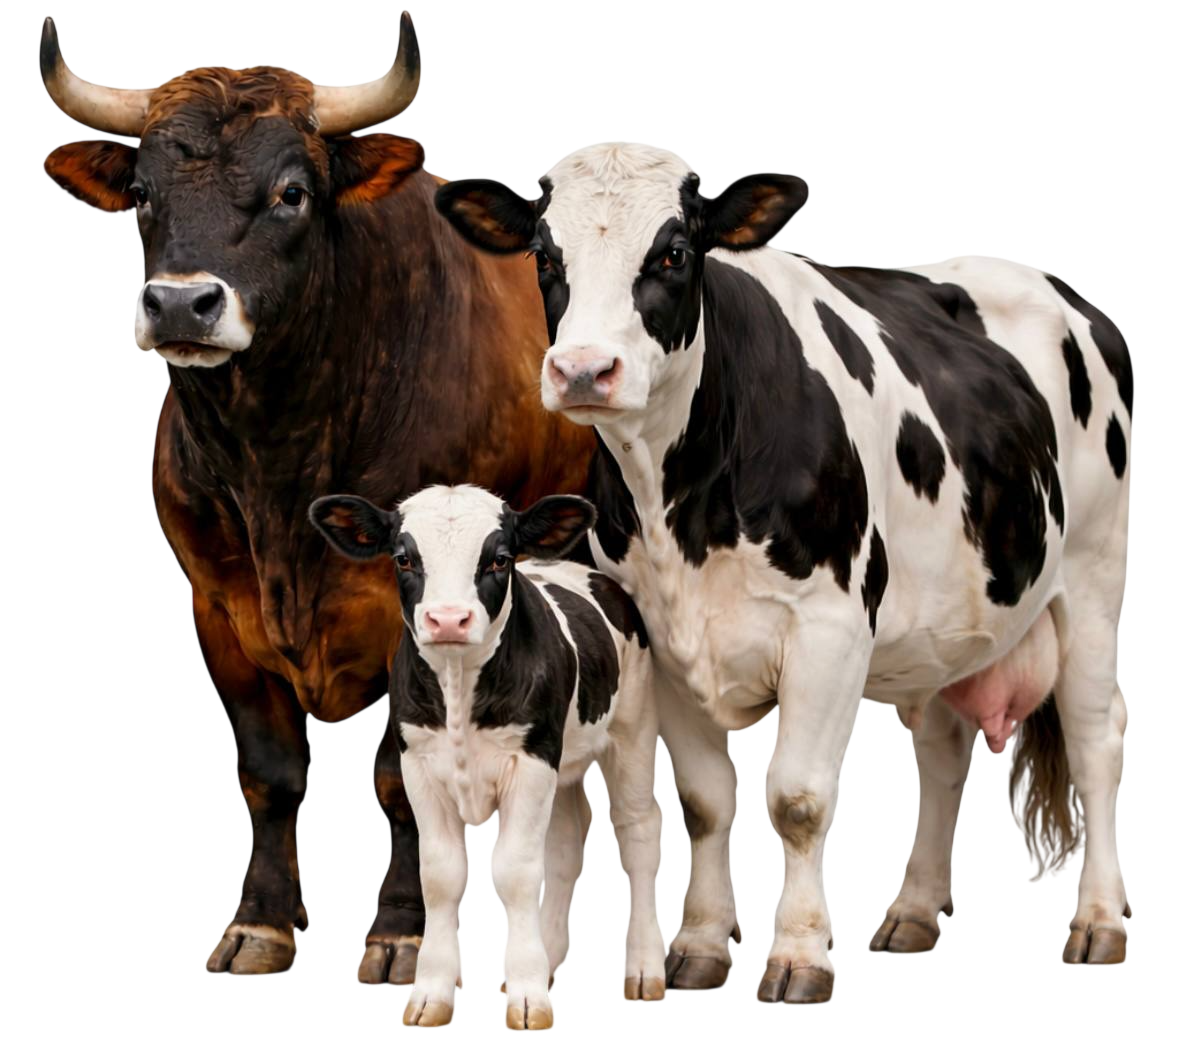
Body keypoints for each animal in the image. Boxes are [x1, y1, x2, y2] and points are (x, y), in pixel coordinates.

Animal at [40, 15, 594, 979]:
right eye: (142, 192)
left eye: (291, 192)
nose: (180, 305)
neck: (276, 456)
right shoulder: (213, 605)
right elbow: (269, 771)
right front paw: (261, 920)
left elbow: (400, 782)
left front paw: (402, 933)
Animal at [309, 484, 662, 1028]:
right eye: (403, 557)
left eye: (499, 559)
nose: (448, 619)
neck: (459, 687)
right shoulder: (419, 767)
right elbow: (441, 875)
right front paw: (432, 991)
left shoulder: (530, 763)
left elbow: (514, 872)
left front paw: (527, 997)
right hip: (563, 760)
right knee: (567, 839)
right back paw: (550, 956)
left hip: (633, 729)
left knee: (638, 830)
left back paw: (644, 969)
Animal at [435, 141, 1133, 1003]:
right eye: (543, 254)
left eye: (673, 253)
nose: (583, 369)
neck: (684, 501)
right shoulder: (661, 640)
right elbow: (706, 800)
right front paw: (700, 940)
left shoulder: (830, 630)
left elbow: (796, 798)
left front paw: (797, 953)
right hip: (944, 624)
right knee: (942, 749)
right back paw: (913, 909)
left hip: (1095, 572)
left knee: (1095, 737)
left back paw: (1097, 920)